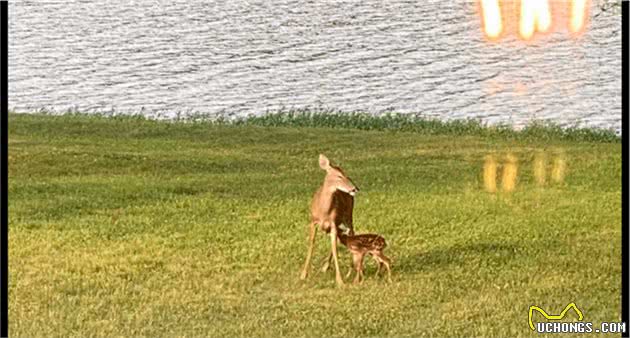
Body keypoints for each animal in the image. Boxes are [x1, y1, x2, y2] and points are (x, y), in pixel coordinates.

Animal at [298, 154, 358, 286]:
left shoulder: (333, 223)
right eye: (339, 176)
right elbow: (311, 244)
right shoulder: (313, 221)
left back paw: (350, 270)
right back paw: (325, 267)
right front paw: (303, 274)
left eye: (345, 174)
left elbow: (334, 247)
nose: (355, 188)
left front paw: (340, 280)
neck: (323, 211)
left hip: (348, 216)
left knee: (351, 234)